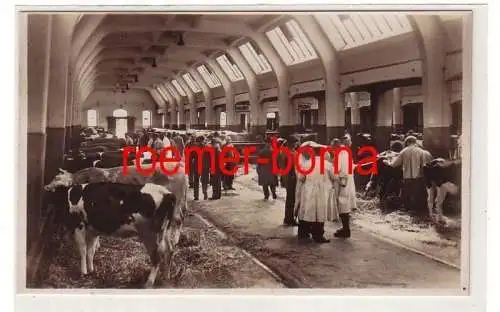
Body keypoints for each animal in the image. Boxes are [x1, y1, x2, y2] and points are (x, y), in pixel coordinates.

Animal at [47, 183, 182, 288]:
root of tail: (167, 193)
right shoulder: (92, 229)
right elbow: (90, 250)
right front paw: (91, 270)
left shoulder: (79, 226)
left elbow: (83, 249)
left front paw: (83, 272)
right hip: (165, 230)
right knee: (169, 250)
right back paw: (166, 277)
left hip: (151, 234)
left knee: (157, 257)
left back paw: (148, 283)